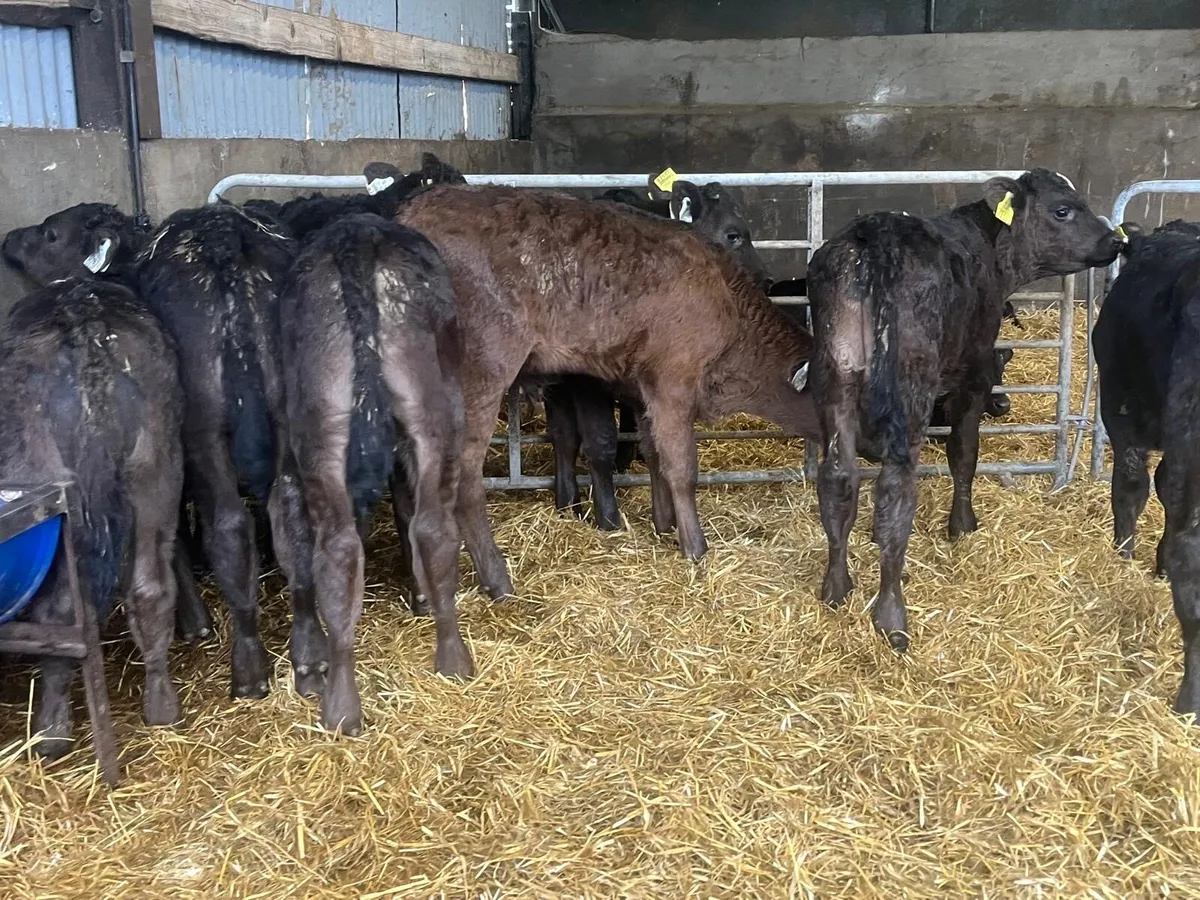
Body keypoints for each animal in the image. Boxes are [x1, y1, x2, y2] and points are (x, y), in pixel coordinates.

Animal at [0, 278, 185, 757]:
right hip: (155, 474)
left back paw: (51, 731)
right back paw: (162, 706)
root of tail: (86, 324)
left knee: (60, 612)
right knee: (151, 589)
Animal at [281, 213, 472, 734]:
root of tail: (357, 236)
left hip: (323, 422)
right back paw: (452, 659)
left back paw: (341, 704)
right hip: (431, 410)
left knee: (336, 546)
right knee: (431, 527)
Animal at [396, 185, 821, 601]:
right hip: (482, 375)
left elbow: (653, 454)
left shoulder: (646, 388)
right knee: (463, 477)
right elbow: (681, 466)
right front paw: (694, 546)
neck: (727, 302)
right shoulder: (674, 384)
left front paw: (664, 524)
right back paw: (498, 581)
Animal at [807, 168, 1124, 651]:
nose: (1116, 241)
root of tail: (871, 237)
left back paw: (836, 587)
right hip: (911, 385)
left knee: (839, 477)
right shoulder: (976, 370)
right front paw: (962, 525)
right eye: (1063, 210)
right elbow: (964, 452)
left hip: (835, 376)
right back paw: (891, 613)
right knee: (896, 490)